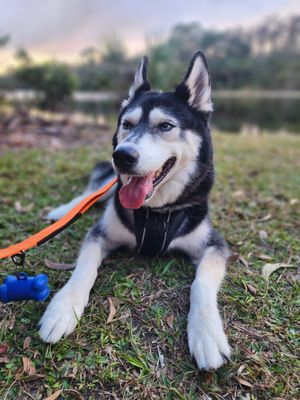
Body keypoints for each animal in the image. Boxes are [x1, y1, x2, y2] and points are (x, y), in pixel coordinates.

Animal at [39, 51, 232, 370]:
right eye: (127, 124)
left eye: (165, 126)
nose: (122, 156)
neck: (156, 212)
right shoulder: (100, 234)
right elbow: (83, 270)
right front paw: (63, 307)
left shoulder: (214, 244)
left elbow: (201, 284)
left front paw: (206, 333)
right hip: (107, 183)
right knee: (91, 192)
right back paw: (64, 211)